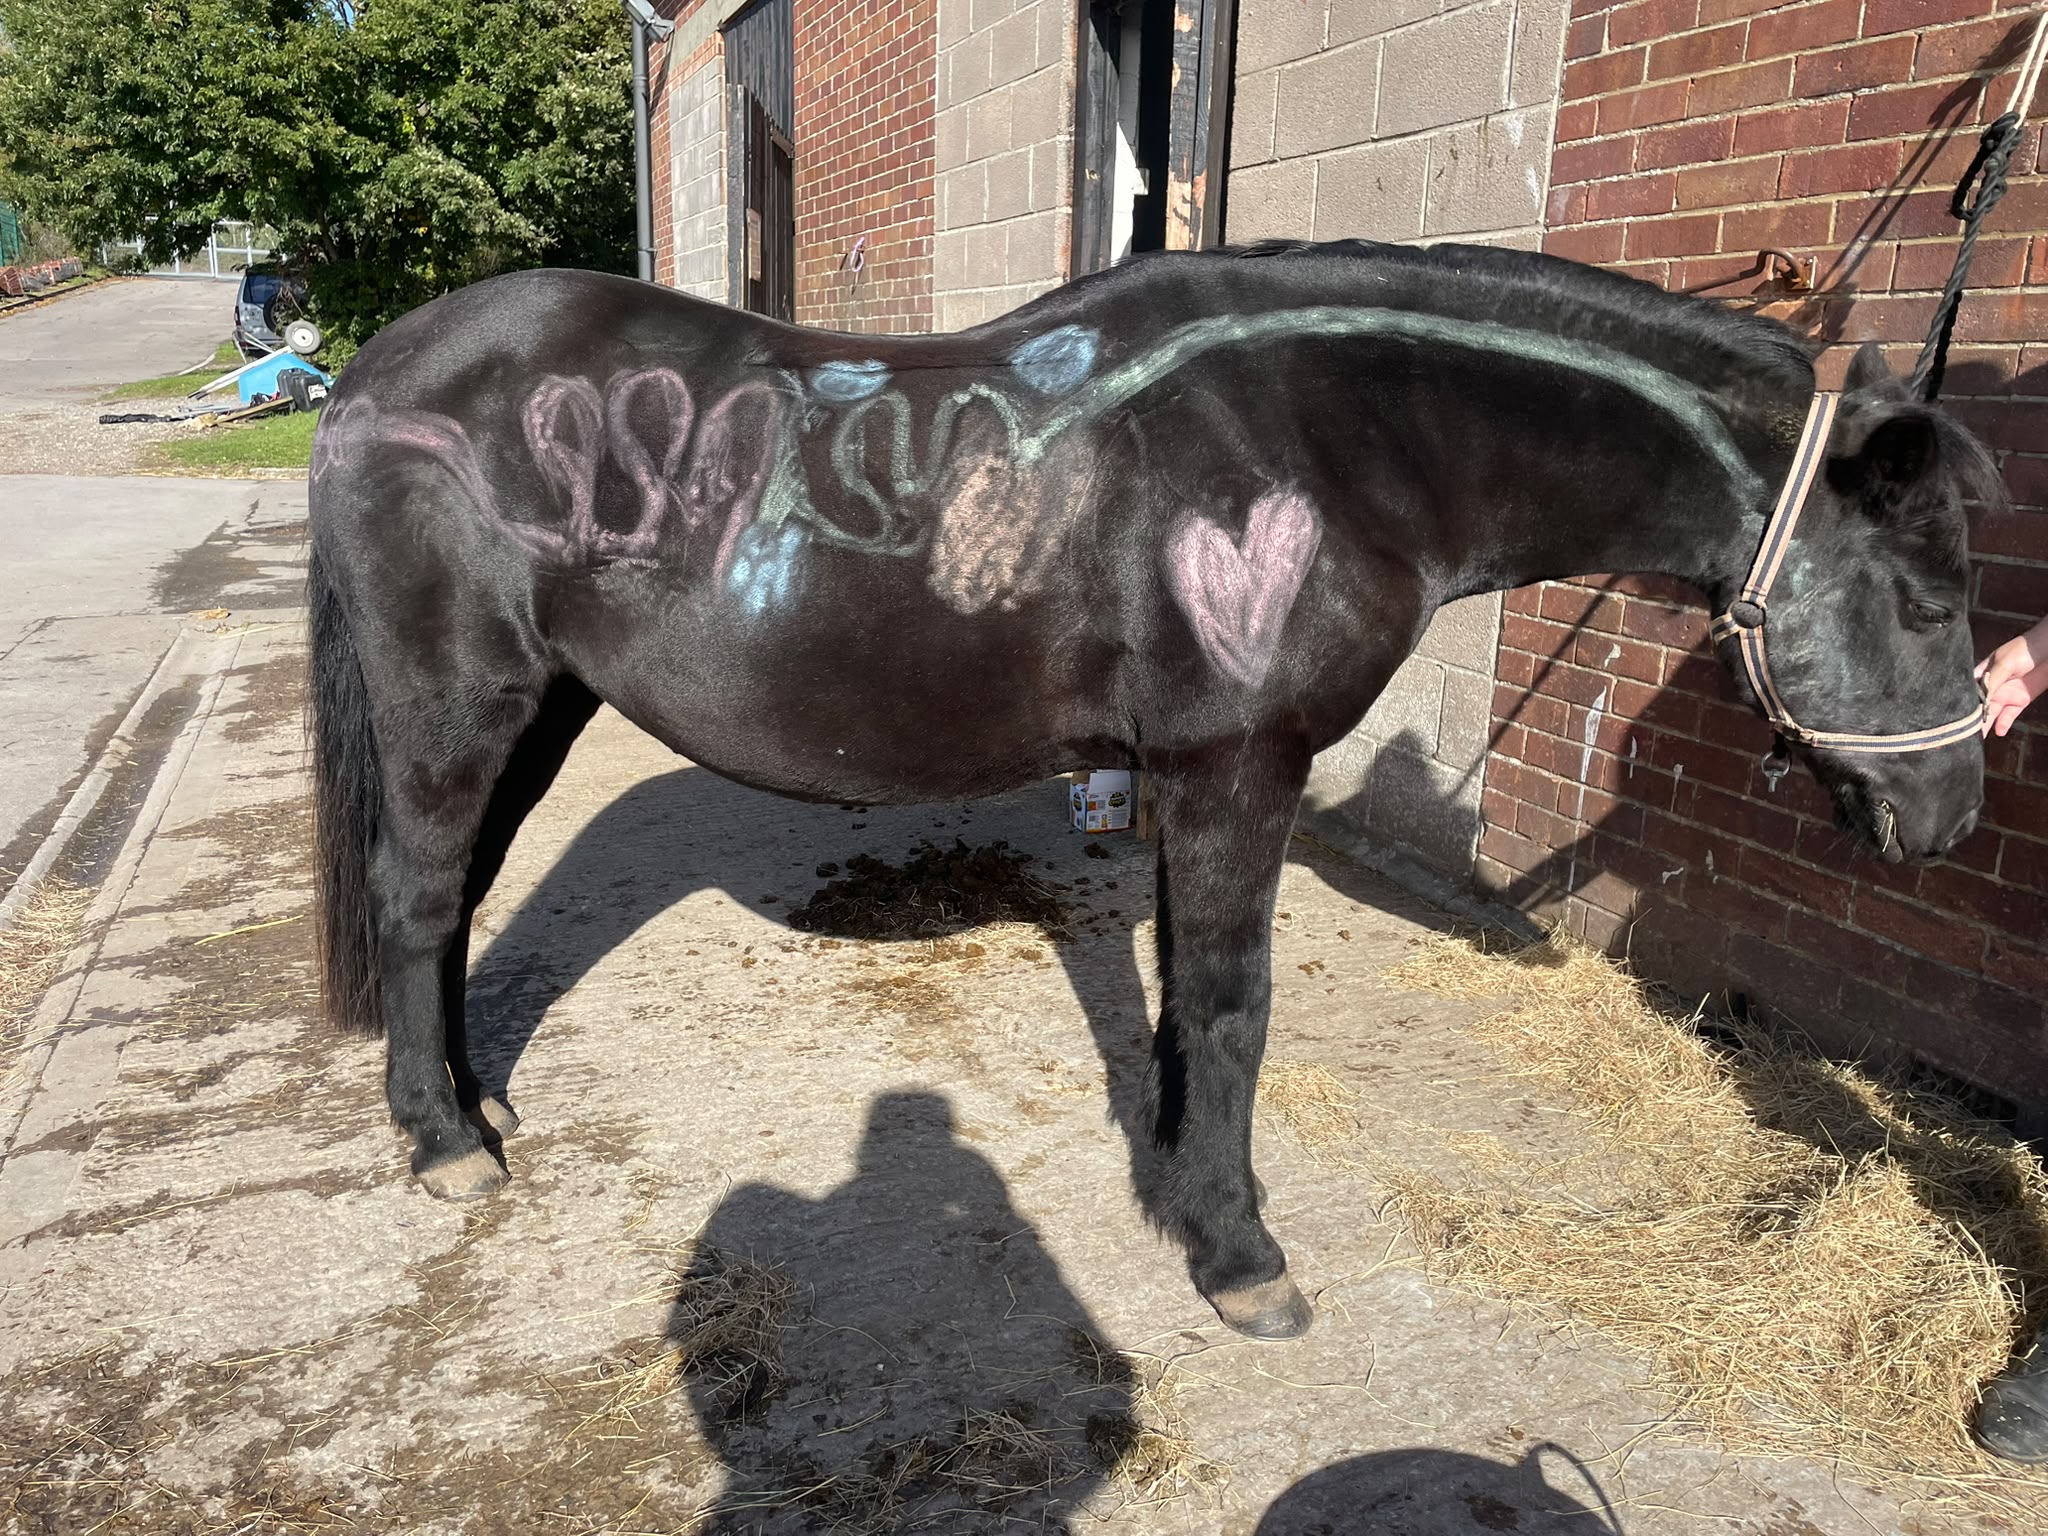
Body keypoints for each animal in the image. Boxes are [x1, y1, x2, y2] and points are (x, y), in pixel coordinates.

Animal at [307, 238, 1997, 1347]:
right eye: (1929, 602)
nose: (1951, 819)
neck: (1328, 434)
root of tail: (377, 377)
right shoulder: (1239, 766)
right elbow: (1238, 1001)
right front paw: (1240, 1252)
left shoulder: (1195, 781)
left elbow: (1191, 996)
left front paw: (1184, 1184)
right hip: (462, 702)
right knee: (416, 896)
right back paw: (442, 1143)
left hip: (541, 706)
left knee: (455, 899)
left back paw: (473, 1100)